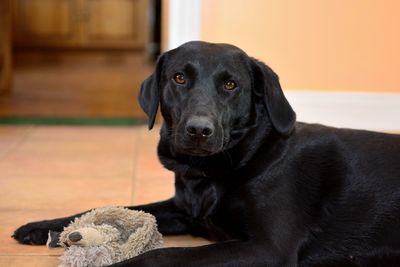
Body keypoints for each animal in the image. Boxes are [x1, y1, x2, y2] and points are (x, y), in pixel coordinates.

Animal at [12, 40, 400, 266]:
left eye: (231, 85)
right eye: (179, 78)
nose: (199, 130)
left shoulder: (267, 248)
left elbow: (164, 255)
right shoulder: (185, 212)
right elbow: (106, 209)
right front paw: (41, 227)